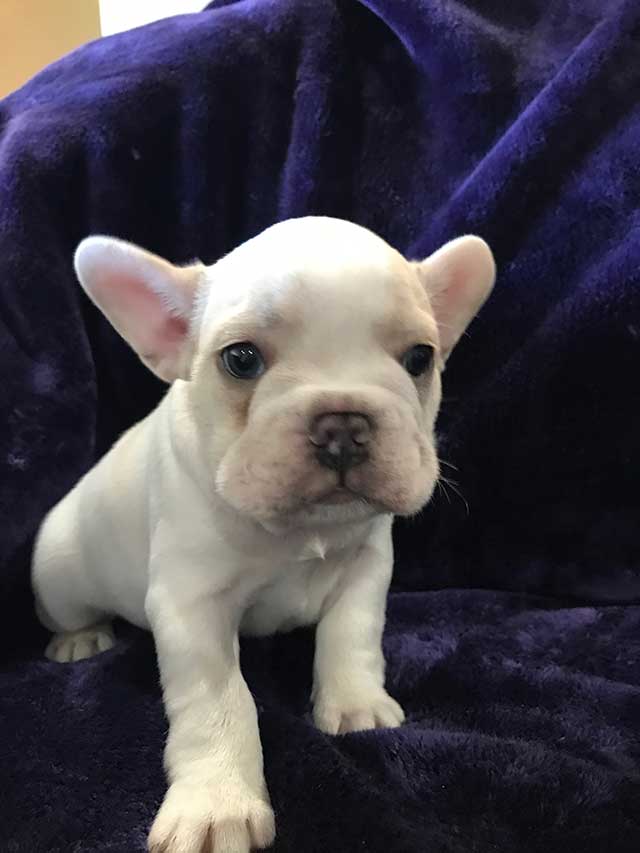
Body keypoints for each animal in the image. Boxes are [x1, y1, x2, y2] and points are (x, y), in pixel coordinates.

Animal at [31, 218, 496, 852]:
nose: (343, 423)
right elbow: (220, 701)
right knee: (69, 611)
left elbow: (352, 637)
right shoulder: (191, 606)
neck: (297, 528)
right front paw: (217, 803)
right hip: (59, 572)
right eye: (242, 360)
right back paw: (80, 640)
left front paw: (357, 705)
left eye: (420, 358)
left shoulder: (366, 568)